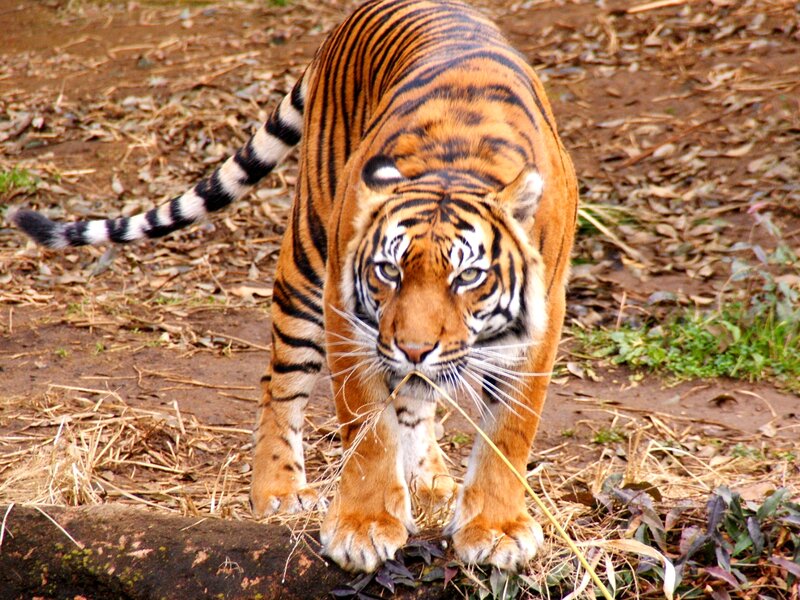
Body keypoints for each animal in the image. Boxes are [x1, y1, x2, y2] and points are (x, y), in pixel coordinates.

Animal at [12, 0, 578, 573]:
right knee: (279, 383)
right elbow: (367, 427)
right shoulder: (345, 310)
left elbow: (510, 430)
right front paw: (364, 526)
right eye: (388, 271)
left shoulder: (541, 320)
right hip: (307, 258)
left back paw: (430, 479)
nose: (414, 348)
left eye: (468, 277)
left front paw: (496, 530)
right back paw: (280, 491)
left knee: (415, 398)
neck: (456, 164)